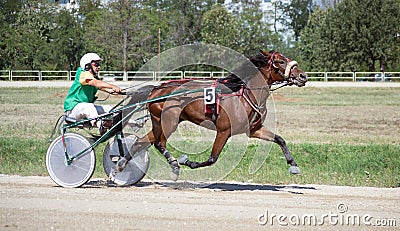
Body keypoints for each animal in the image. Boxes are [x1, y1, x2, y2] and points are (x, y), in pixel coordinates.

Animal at [117, 50, 308, 180]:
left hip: (160, 122)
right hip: (169, 122)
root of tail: (156, 89)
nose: (303, 76)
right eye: (281, 61)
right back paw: (174, 165)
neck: (245, 96)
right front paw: (187, 161)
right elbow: (212, 159)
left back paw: (121, 164)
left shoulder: (254, 129)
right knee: (159, 143)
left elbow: (280, 139)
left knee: (141, 142)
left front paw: (293, 165)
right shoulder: (224, 131)